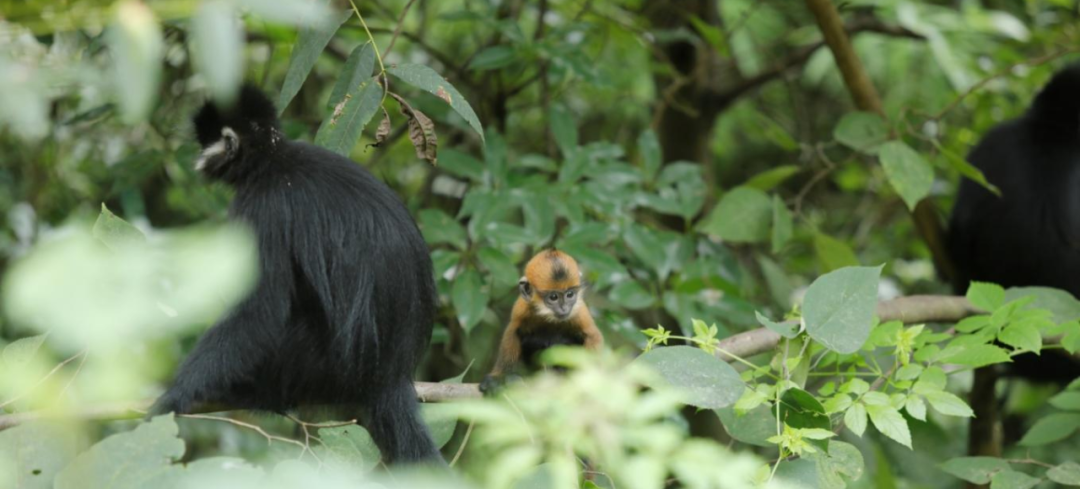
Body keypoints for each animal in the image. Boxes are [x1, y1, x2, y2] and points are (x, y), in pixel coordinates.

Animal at [147, 85, 442, 464]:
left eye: (205, 142)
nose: (197, 159)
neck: (272, 159)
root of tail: (391, 374)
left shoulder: (261, 207)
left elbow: (260, 311)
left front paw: (175, 395)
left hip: (312, 364)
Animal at [483, 248, 609, 392]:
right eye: (553, 297)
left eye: (569, 294)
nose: (564, 308)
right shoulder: (522, 308)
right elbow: (513, 332)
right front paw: (497, 377)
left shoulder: (578, 311)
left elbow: (593, 335)